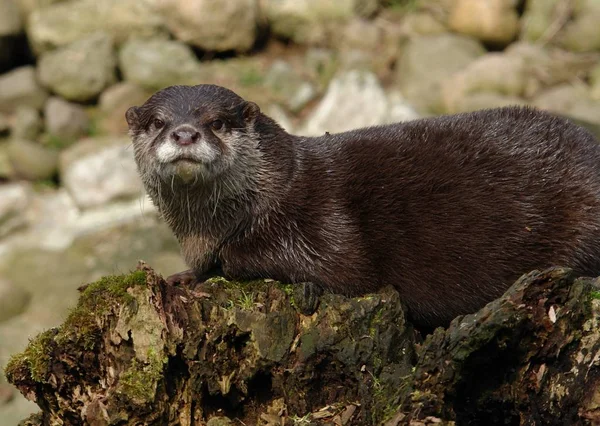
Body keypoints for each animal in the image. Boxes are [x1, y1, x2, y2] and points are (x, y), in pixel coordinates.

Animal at [124, 84, 600, 330]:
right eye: (157, 123)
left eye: (218, 123)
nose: (185, 133)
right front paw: (185, 275)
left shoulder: (324, 222)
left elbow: (341, 269)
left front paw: (214, 266)